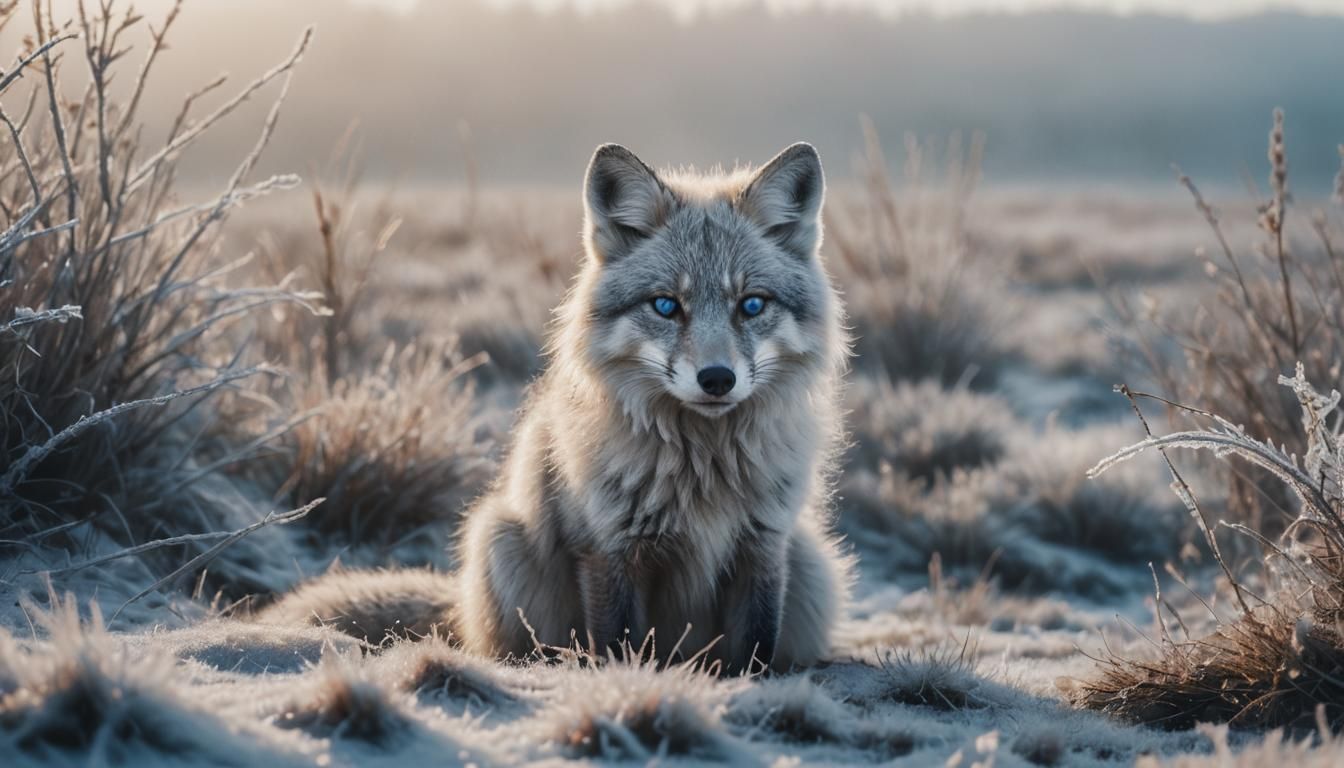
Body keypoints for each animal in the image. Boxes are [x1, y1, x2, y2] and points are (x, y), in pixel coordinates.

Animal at [261, 142, 853, 673]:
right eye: (666, 305)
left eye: (751, 304)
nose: (716, 379)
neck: (701, 472)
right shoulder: (607, 549)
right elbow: (617, 648)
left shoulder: (764, 546)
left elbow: (754, 653)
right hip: (498, 538)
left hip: (812, 562)